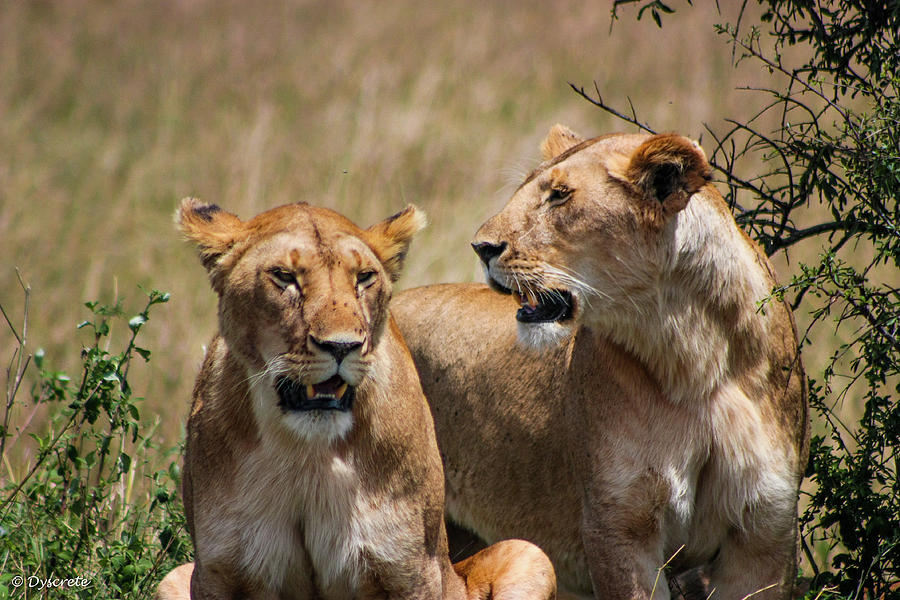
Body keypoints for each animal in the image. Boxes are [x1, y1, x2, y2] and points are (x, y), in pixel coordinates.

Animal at [158, 202, 560, 600]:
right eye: (284, 276)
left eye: (364, 277)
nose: (342, 346)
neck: (306, 454)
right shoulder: (220, 571)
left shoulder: (411, 570)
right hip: (173, 578)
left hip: (530, 555)